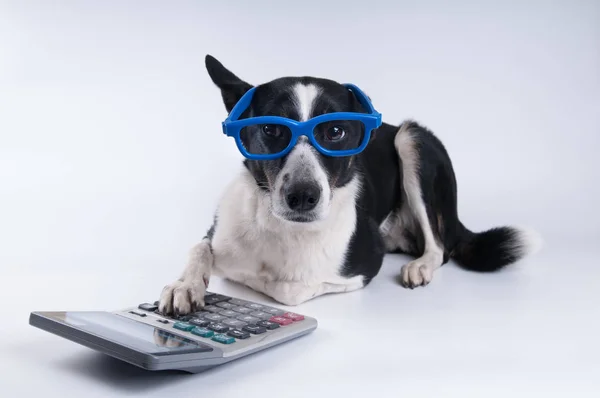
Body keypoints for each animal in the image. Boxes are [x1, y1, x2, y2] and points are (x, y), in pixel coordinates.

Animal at [157, 54, 540, 314]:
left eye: (336, 132)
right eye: (271, 129)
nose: (302, 196)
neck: (284, 230)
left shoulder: (361, 267)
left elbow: (287, 289)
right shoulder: (218, 230)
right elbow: (199, 248)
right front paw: (185, 285)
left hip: (412, 139)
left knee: (440, 246)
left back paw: (420, 265)